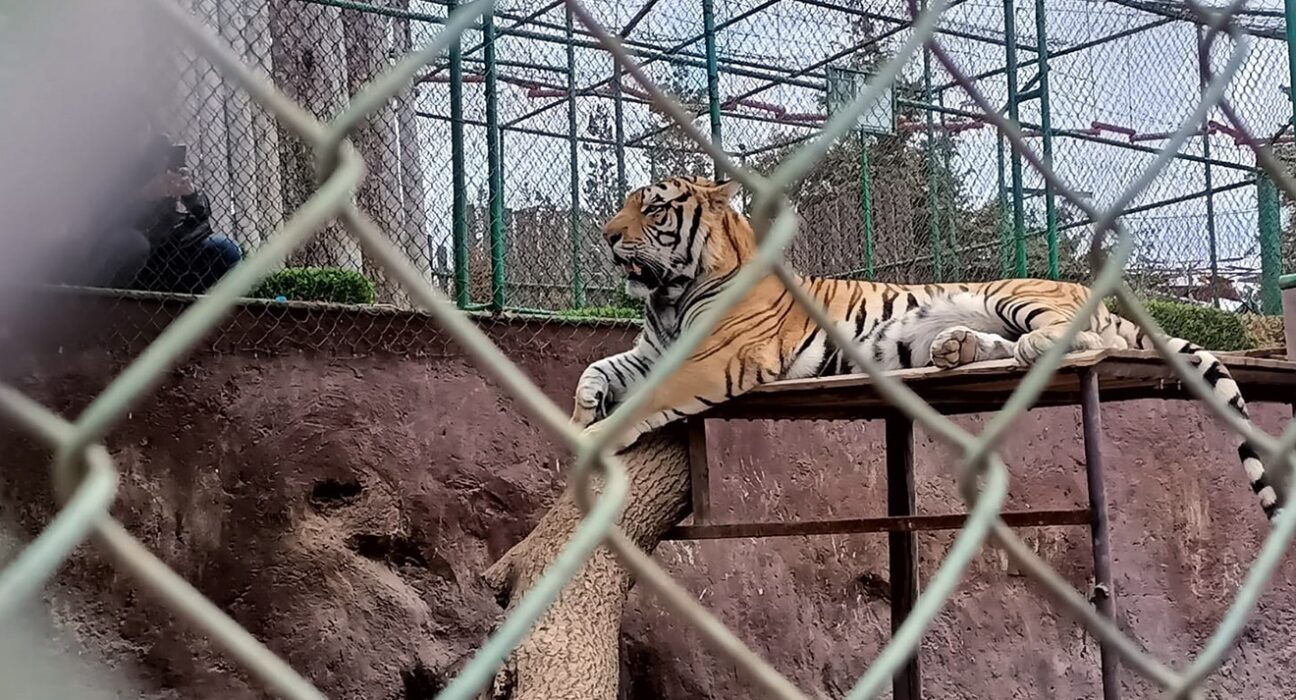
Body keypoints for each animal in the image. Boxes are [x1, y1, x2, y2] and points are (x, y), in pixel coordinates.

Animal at [578, 174, 1285, 523]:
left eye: (654, 210)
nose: (606, 235)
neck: (668, 294)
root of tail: (1101, 296)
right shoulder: (655, 348)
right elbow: (597, 368)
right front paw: (585, 412)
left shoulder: (710, 359)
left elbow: (649, 399)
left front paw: (597, 434)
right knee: (997, 344)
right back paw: (955, 349)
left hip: (1016, 294)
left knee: (1072, 336)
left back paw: (1023, 344)